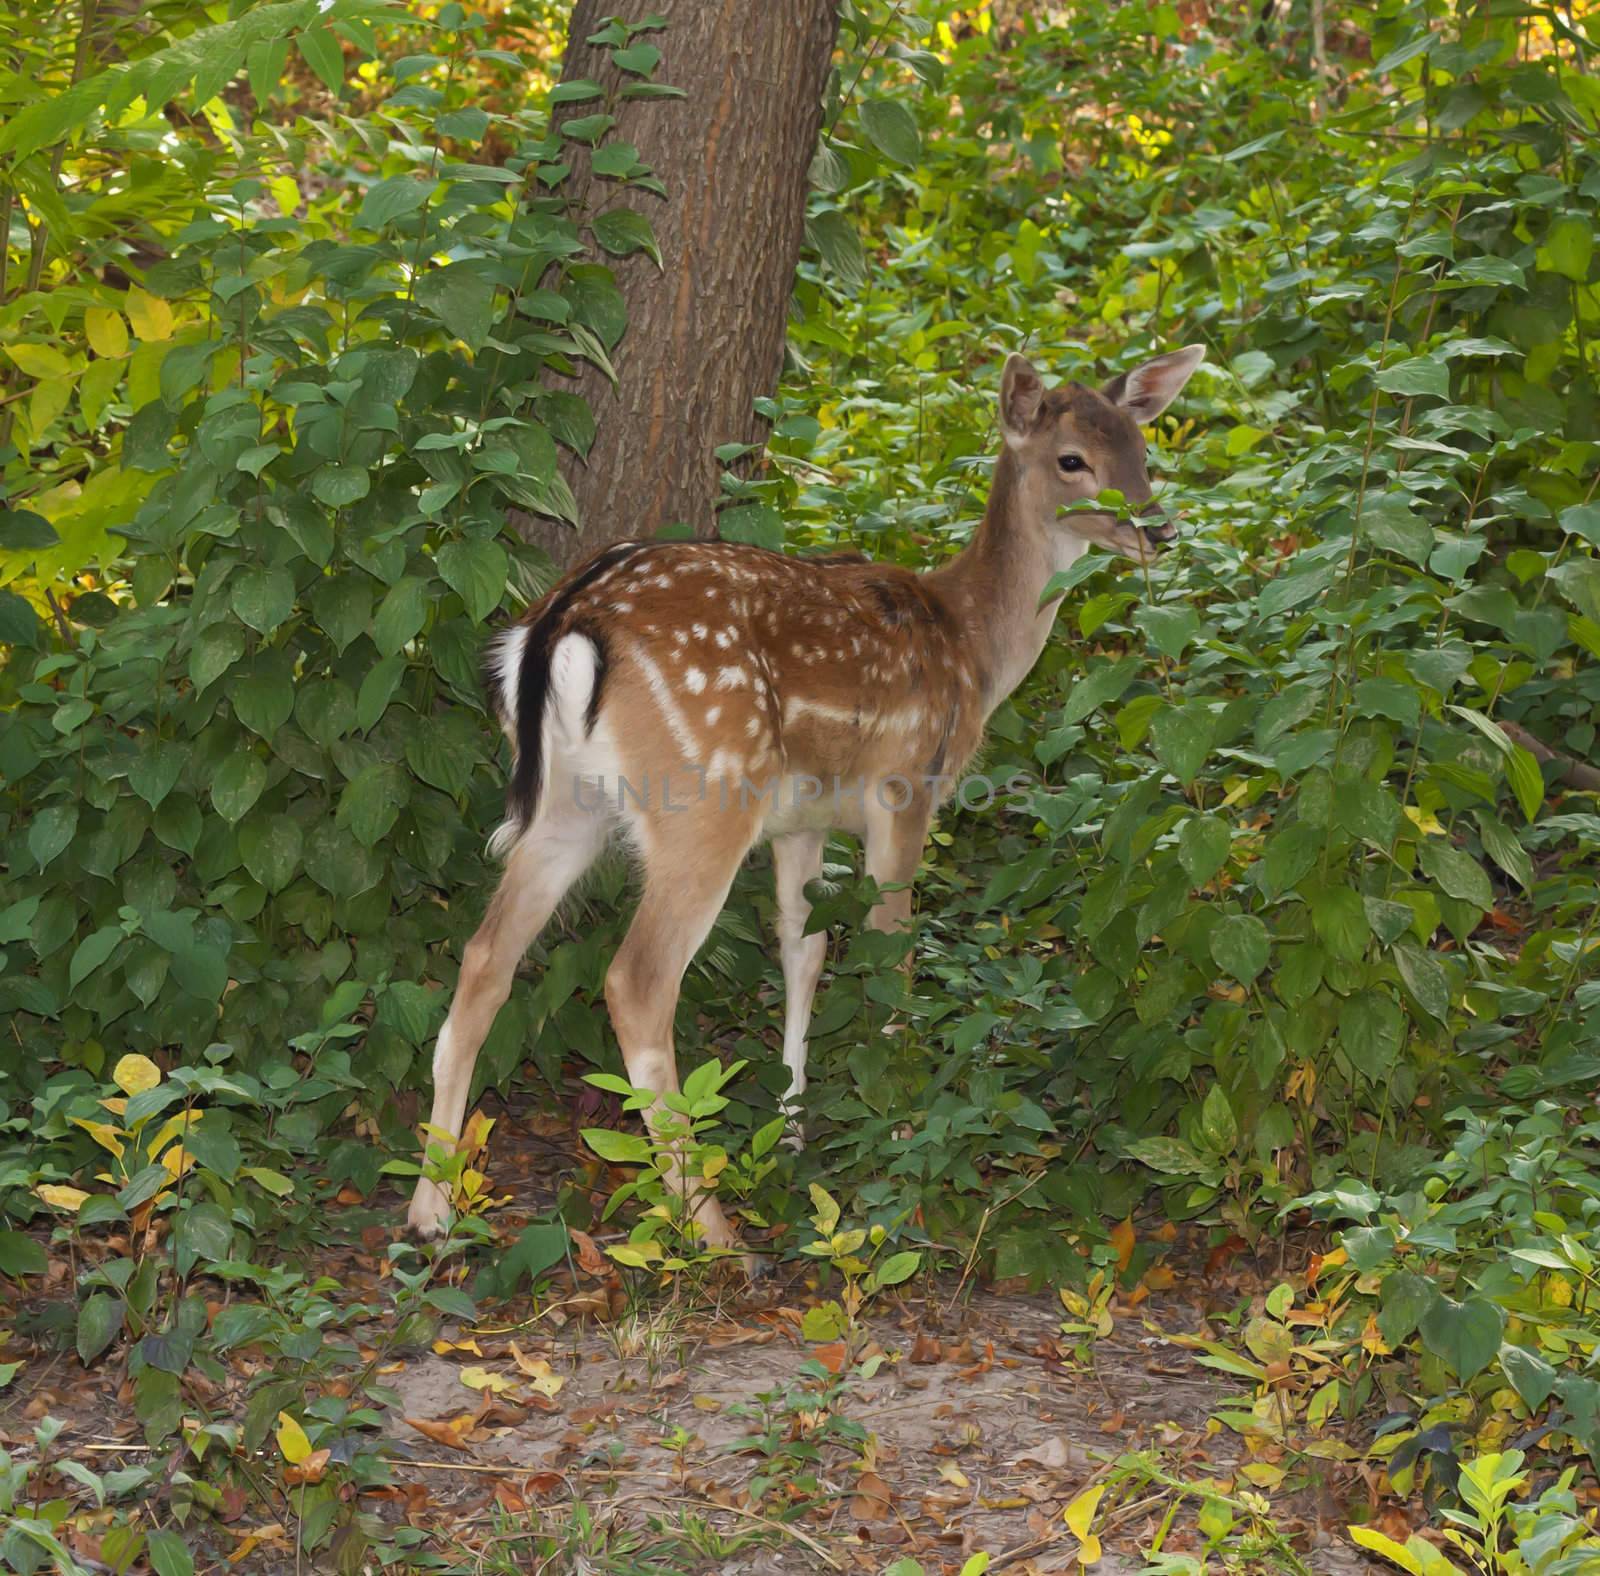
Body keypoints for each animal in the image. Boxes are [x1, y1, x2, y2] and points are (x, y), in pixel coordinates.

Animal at [406, 347, 1203, 1267]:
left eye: (1140, 446)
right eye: (1072, 458)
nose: (1157, 530)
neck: (972, 648)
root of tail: (563, 624)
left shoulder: (805, 820)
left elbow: (805, 950)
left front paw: (791, 1130)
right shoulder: (906, 789)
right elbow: (892, 952)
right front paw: (903, 1133)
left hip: (568, 806)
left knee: (483, 958)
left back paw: (432, 1208)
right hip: (705, 796)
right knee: (638, 981)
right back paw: (710, 1226)